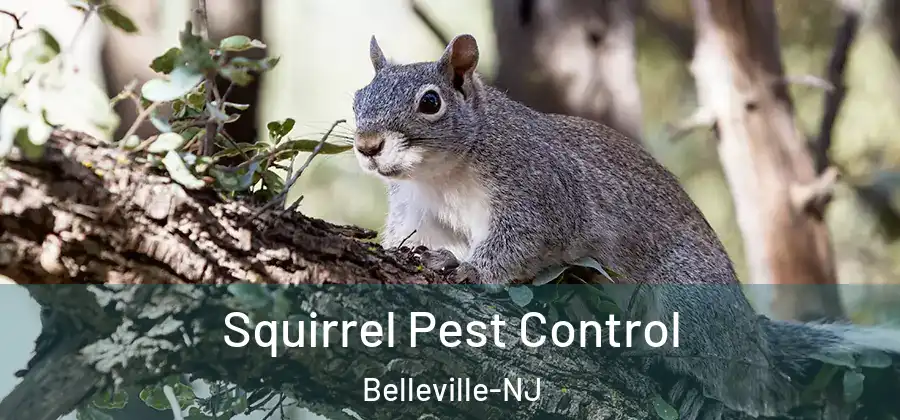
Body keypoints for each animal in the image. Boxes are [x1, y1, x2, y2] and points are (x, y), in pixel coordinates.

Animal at [351, 34, 900, 418]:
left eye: (430, 102)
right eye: (358, 96)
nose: (367, 145)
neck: (442, 173)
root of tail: (751, 333)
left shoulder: (542, 192)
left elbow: (522, 241)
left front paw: (470, 269)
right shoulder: (418, 211)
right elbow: (410, 238)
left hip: (690, 301)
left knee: (745, 383)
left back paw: (700, 390)